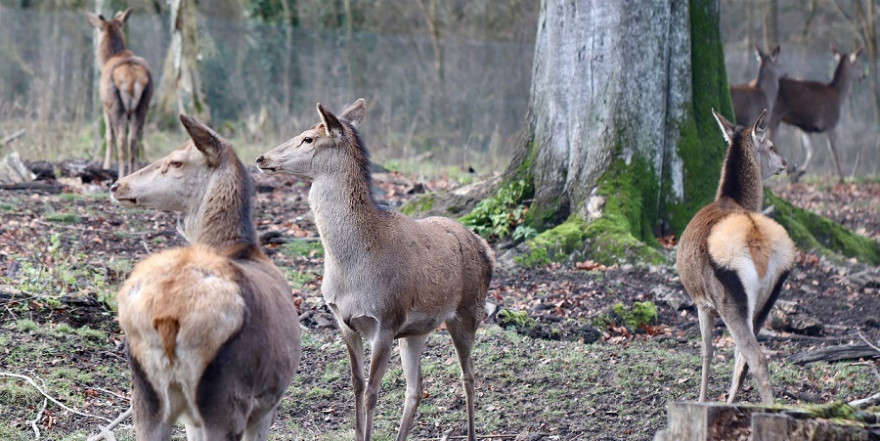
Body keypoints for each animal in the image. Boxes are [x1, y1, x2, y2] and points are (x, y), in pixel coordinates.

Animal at [87, 6, 152, 177]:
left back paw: (122, 174)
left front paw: (106, 165)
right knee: (133, 139)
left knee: (121, 139)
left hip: (117, 105)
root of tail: (131, 79)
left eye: (99, 29)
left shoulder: (105, 106)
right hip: (143, 104)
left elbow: (109, 135)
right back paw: (134, 172)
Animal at [109, 114, 302, 440]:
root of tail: (168, 316)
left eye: (176, 161)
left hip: (146, 396)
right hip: (225, 397)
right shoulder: (267, 404)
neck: (240, 247)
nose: (117, 185)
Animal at [253, 99, 496, 440]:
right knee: (416, 388)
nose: (261, 158)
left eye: (308, 138)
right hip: (417, 330)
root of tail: (486, 248)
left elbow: (371, 392)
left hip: (468, 312)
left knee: (469, 376)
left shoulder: (386, 319)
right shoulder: (343, 319)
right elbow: (356, 385)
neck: (351, 268)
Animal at [672, 108, 796, 404]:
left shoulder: (701, 301)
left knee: (757, 358)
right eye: (771, 146)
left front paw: (701, 399)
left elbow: (706, 351)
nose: (785, 162)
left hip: (729, 295)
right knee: (744, 360)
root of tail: (755, 236)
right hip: (766, 298)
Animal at [768, 46, 868, 180]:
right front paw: (842, 178)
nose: (863, 75)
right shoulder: (831, 123)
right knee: (770, 139)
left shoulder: (805, 127)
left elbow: (811, 151)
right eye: (856, 64)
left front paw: (800, 172)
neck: (838, 95)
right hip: (774, 113)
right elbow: (834, 151)